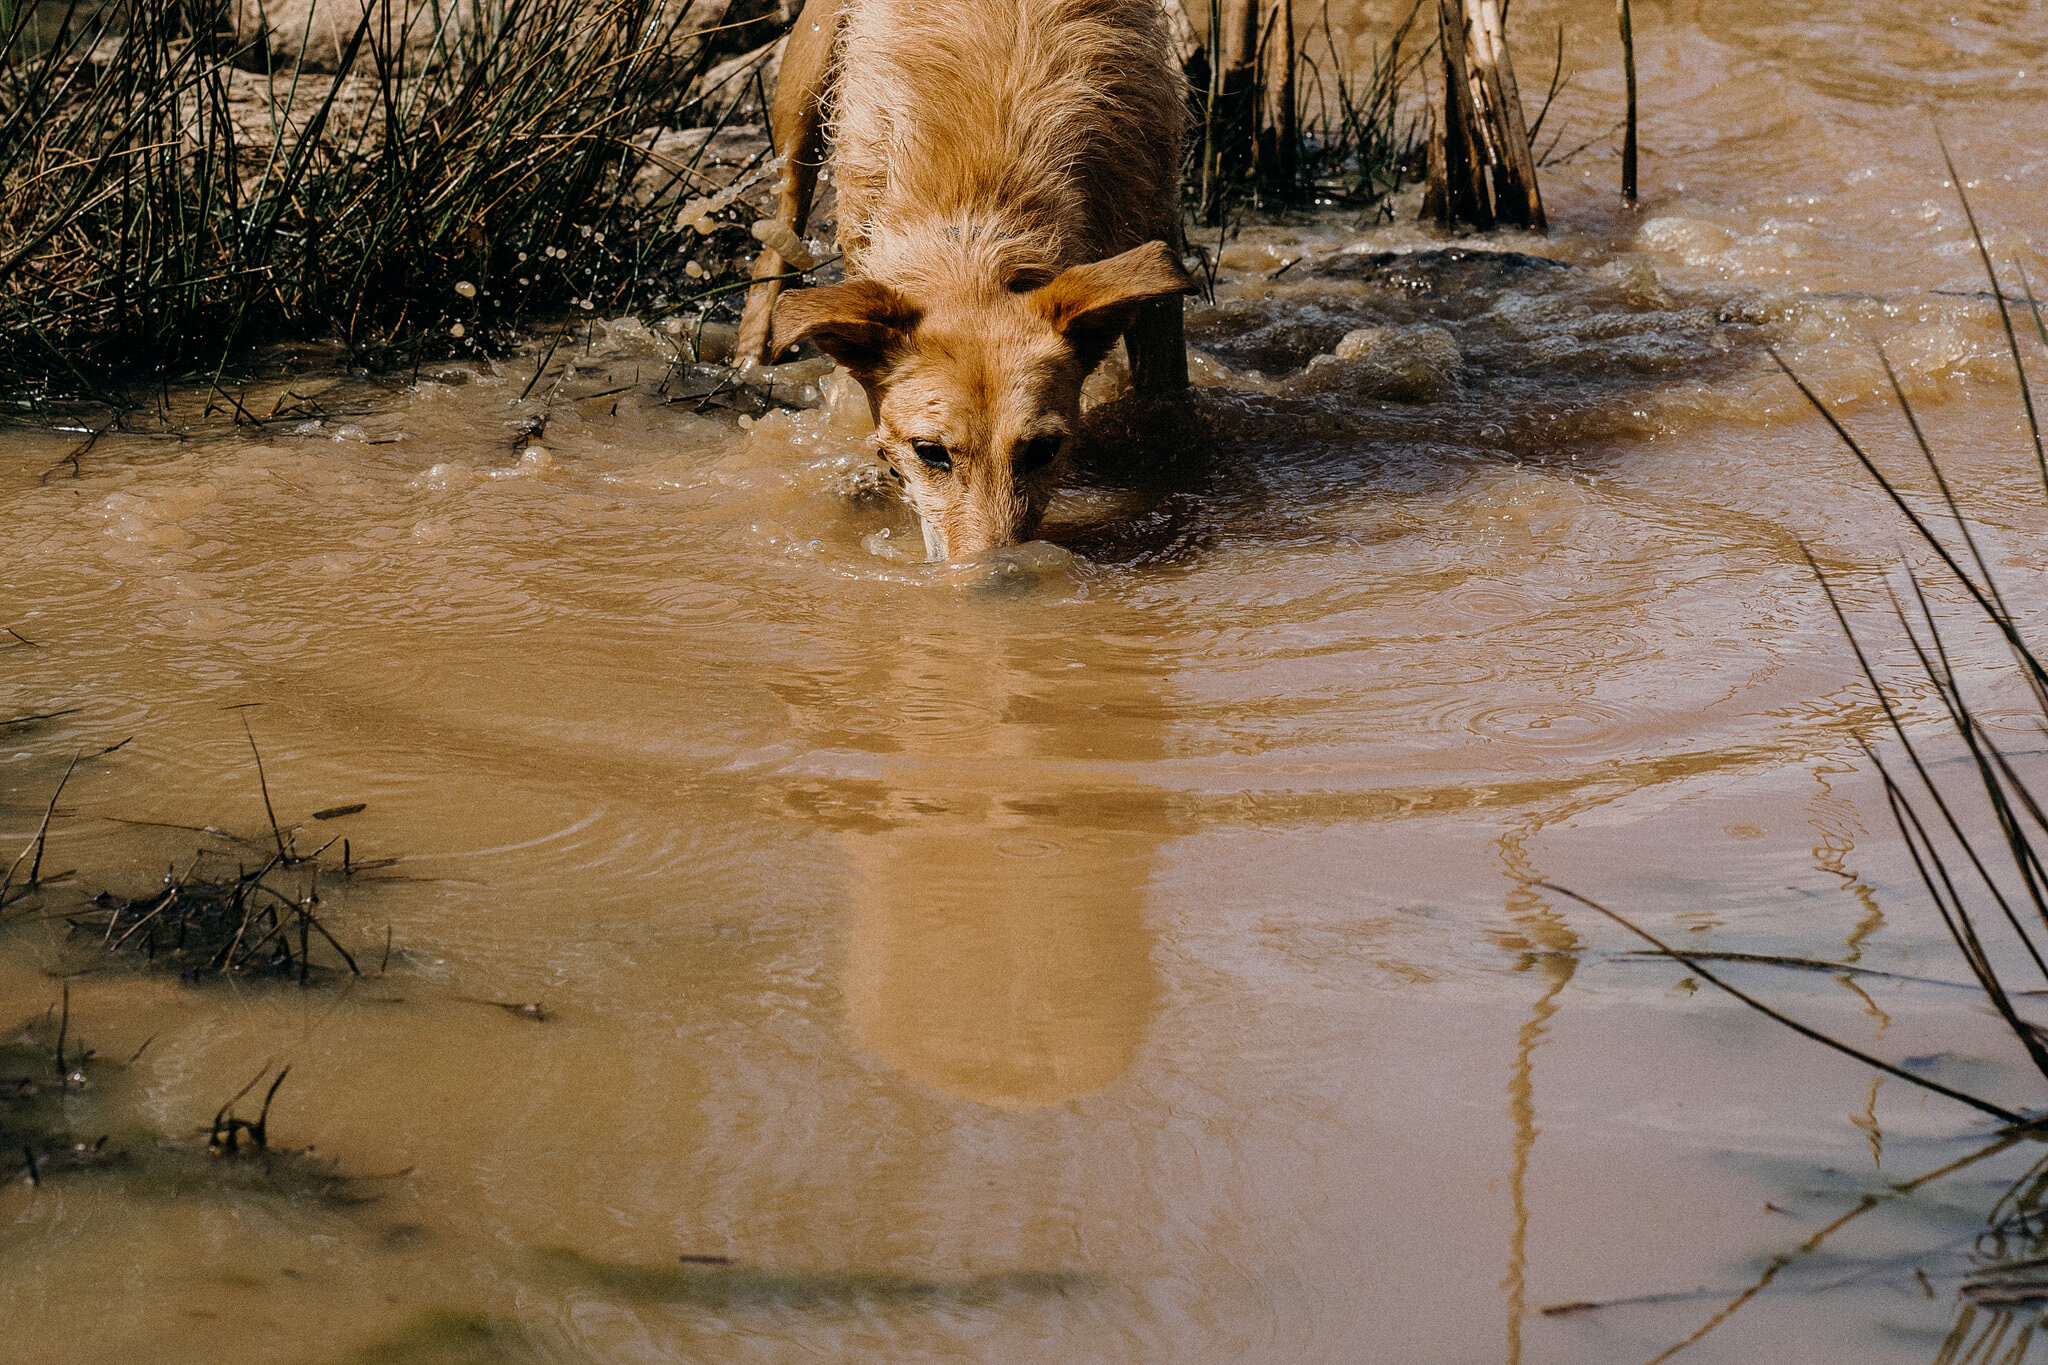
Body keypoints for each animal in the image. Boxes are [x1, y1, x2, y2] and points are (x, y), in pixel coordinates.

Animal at [737, 0, 1196, 560]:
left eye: (1044, 449)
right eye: (930, 452)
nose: (999, 574)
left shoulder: (1152, 230)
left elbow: (1165, 400)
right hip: (804, 89)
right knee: (777, 233)